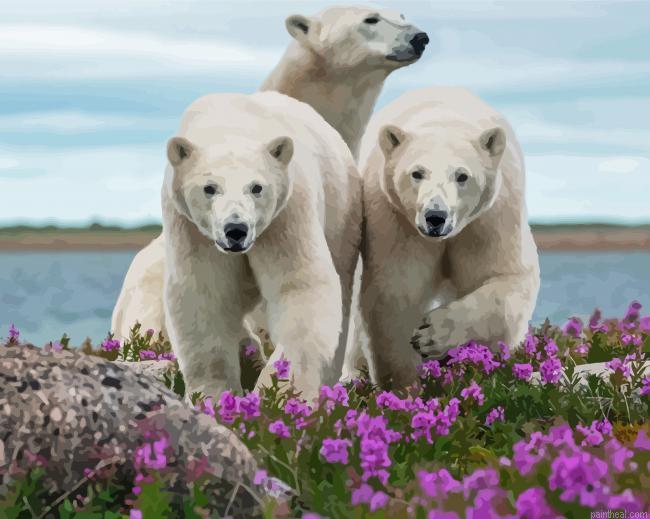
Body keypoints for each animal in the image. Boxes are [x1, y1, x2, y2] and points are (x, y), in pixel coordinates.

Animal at [162, 91, 361, 400]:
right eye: (209, 188)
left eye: (256, 187)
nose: (236, 229)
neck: (230, 123)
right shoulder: (191, 229)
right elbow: (204, 294)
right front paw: (212, 394)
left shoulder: (286, 214)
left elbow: (300, 288)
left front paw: (280, 390)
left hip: (341, 212)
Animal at [357, 86, 540, 388]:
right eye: (417, 173)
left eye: (462, 175)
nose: (435, 216)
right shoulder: (395, 221)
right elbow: (396, 291)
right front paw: (406, 384)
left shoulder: (489, 220)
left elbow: (505, 280)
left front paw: (432, 334)